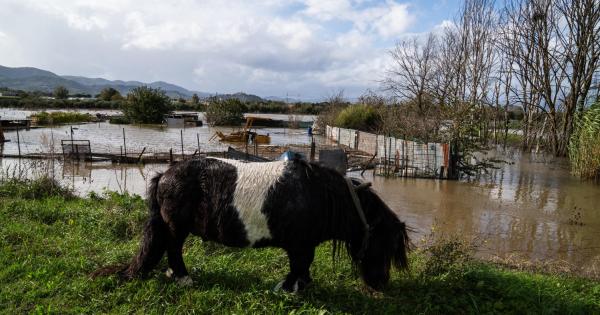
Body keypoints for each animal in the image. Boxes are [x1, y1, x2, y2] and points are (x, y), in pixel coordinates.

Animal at [106, 158, 408, 294]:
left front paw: (302, 285)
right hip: (176, 228)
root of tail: (165, 175)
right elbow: (299, 265)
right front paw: (289, 288)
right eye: (383, 244)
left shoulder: (303, 245)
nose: (381, 284)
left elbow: (304, 266)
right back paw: (183, 277)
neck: (320, 196)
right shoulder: (300, 246)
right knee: (174, 249)